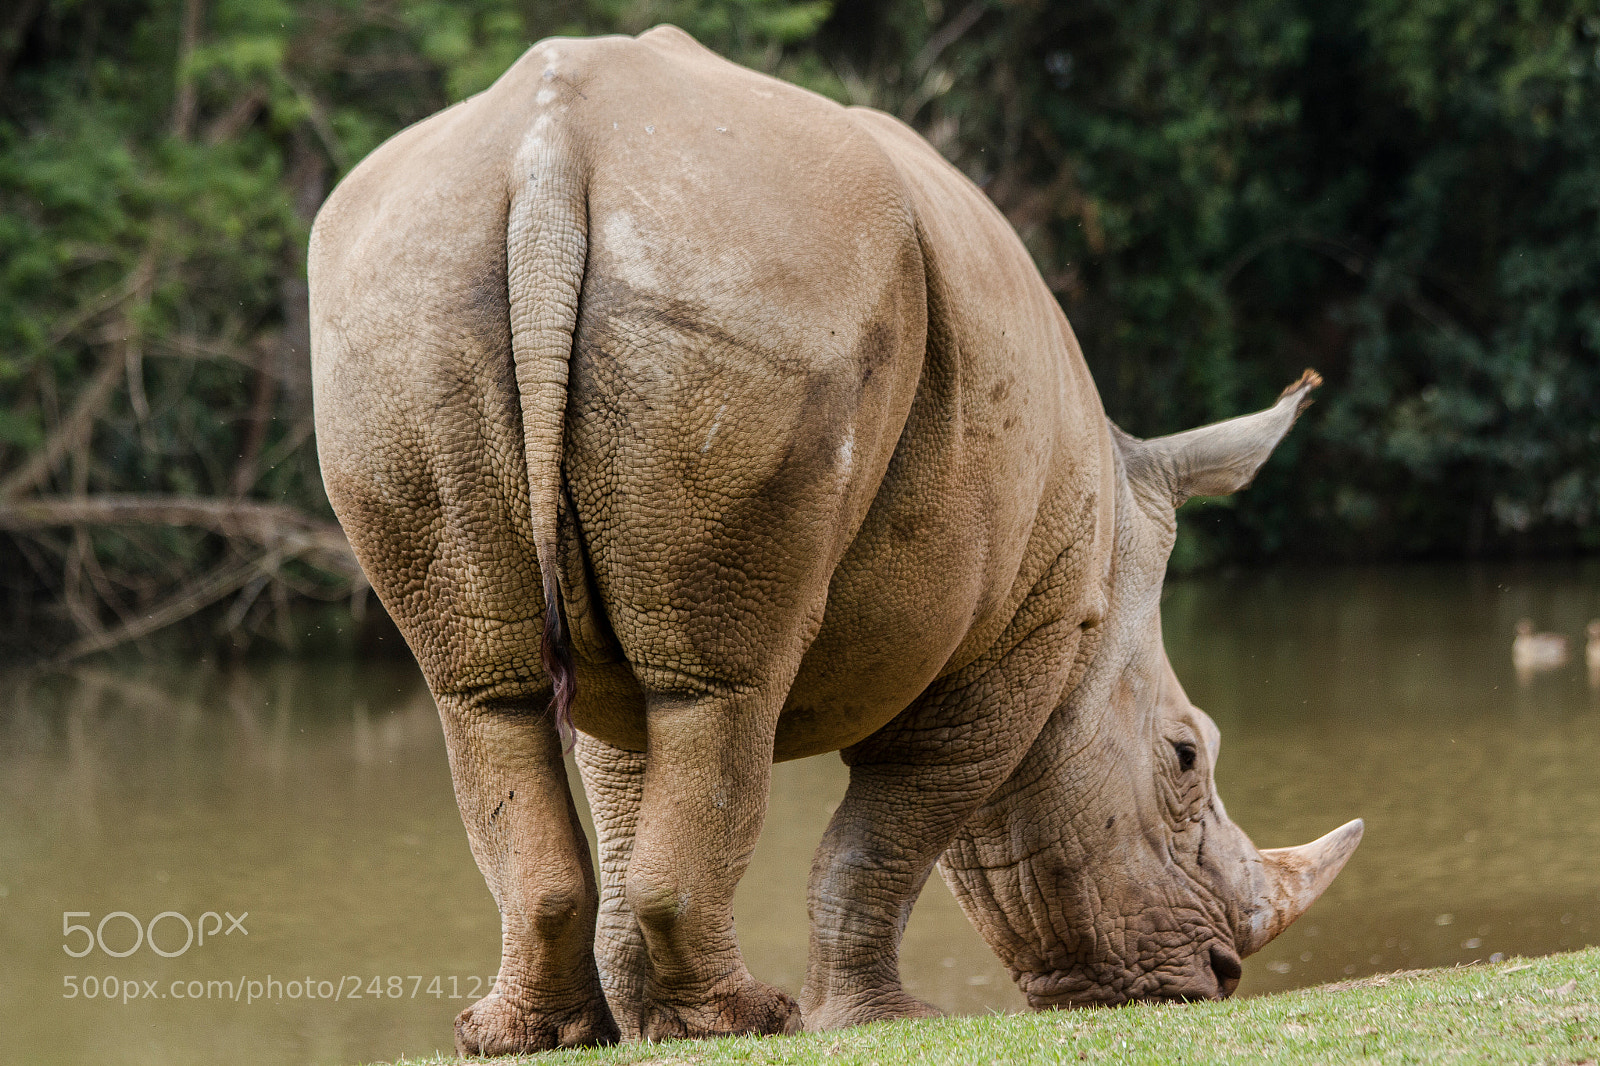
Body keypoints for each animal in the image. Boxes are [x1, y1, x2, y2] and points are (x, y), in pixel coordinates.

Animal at [308, 25, 1362, 1054]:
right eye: (1186, 756)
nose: (1214, 979)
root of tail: (551, 154)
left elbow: (635, 793)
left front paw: (648, 1026)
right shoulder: (1020, 632)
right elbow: (881, 843)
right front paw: (880, 1022)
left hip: (415, 295)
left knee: (499, 696)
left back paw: (534, 1035)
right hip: (755, 269)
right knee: (723, 690)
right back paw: (746, 1019)